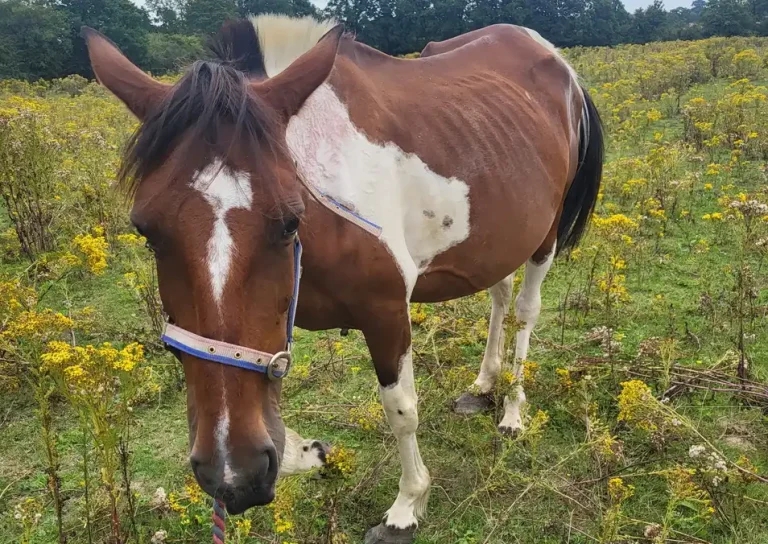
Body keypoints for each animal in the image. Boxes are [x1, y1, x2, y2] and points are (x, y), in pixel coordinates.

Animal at [82, 15, 603, 543]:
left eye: (290, 222)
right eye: (146, 230)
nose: (232, 474)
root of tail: (557, 63)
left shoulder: (386, 312)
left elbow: (401, 410)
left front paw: (407, 506)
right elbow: (277, 420)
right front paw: (312, 453)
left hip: (543, 237)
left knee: (525, 313)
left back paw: (513, 409)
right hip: (496, 239)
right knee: (499, 293)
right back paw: (483, 386)